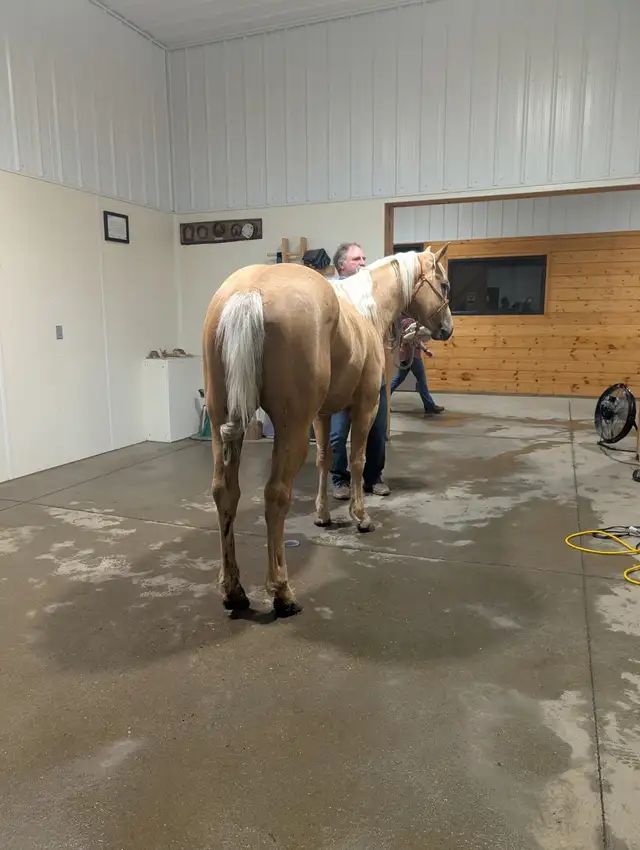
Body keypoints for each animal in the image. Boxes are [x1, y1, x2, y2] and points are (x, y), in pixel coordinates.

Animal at [202, 245, 453, 618]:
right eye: (445, 284)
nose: (448, 328)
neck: (366, 310)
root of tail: (249, 292)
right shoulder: (365, 407)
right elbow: (357, 460)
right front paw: (361, 517)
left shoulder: (321, 416)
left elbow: (324, 459)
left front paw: (322, 514)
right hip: (291, 427)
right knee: (276, 495)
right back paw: (282, 592)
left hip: (223, 425)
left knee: (225, 493)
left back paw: (233, 591)